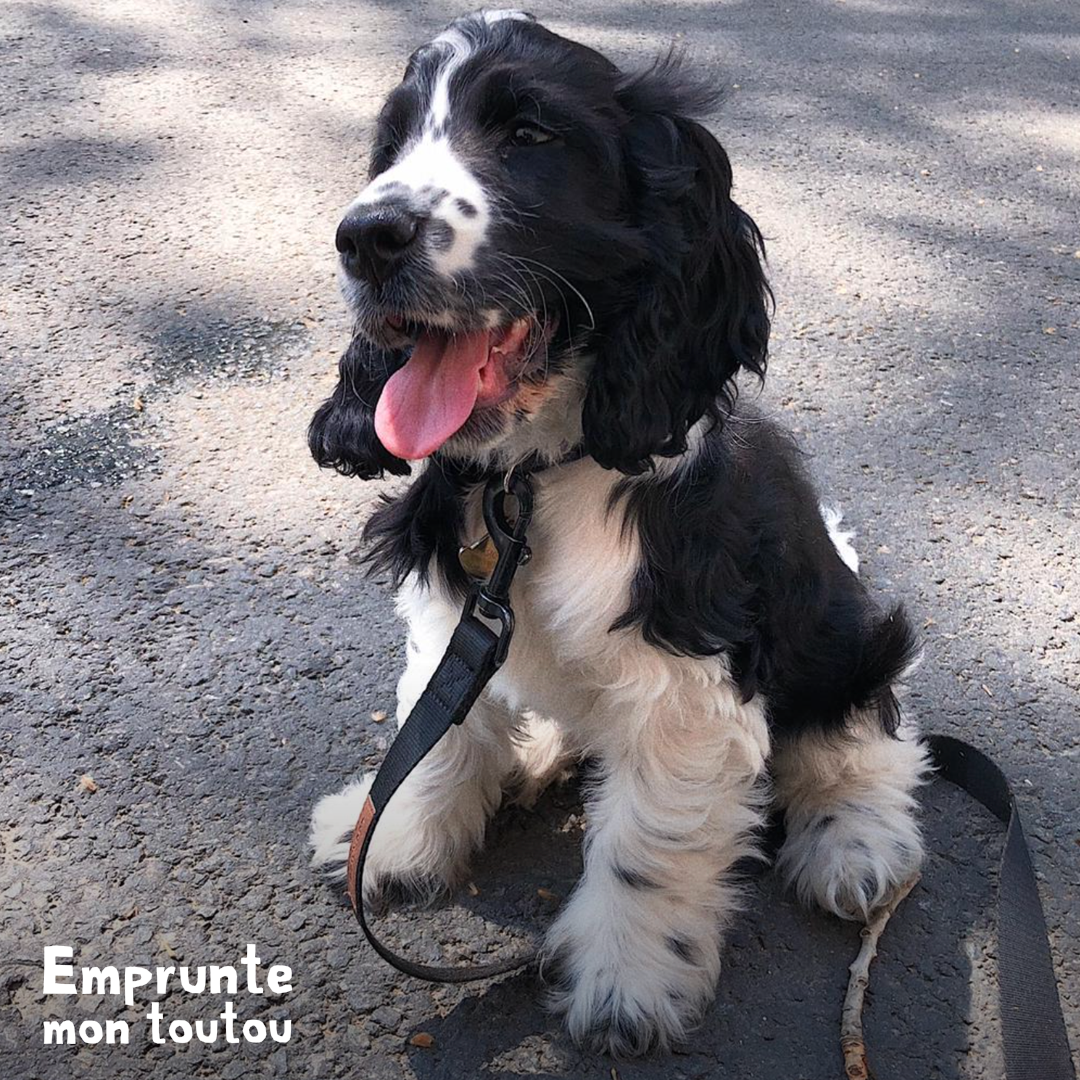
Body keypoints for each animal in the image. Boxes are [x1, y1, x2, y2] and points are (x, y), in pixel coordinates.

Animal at [306, 8, 928, 1054]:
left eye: (529, 134)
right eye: (389, 147)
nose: (367, 236)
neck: (535, 479)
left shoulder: (689, 680)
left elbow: (649, 844)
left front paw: (625, 988)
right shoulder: (454, 606)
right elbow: (438, 729)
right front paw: (393, 839)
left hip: (848, 634)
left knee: (866, 734)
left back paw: (857, 843)